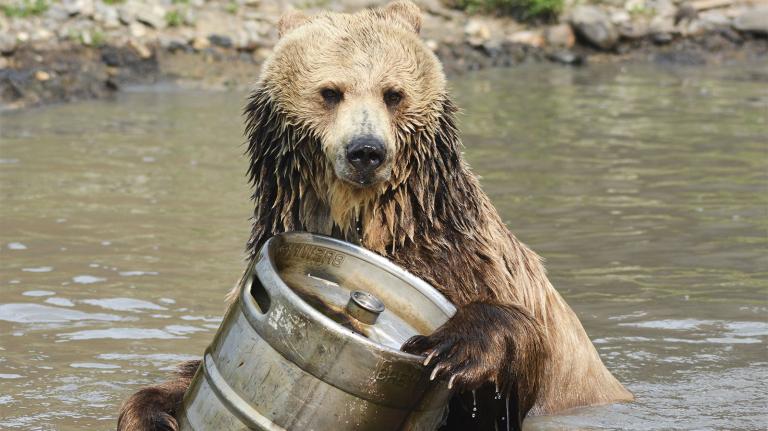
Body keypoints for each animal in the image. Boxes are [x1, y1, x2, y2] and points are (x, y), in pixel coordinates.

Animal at [117, 1, 633, 430]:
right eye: (330, 91)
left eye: (393, 93)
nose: (366, 151)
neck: (372, 221)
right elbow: (181, 376)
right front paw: (151, 411)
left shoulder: (468, 261)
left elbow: (504, 372)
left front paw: (451, 350)